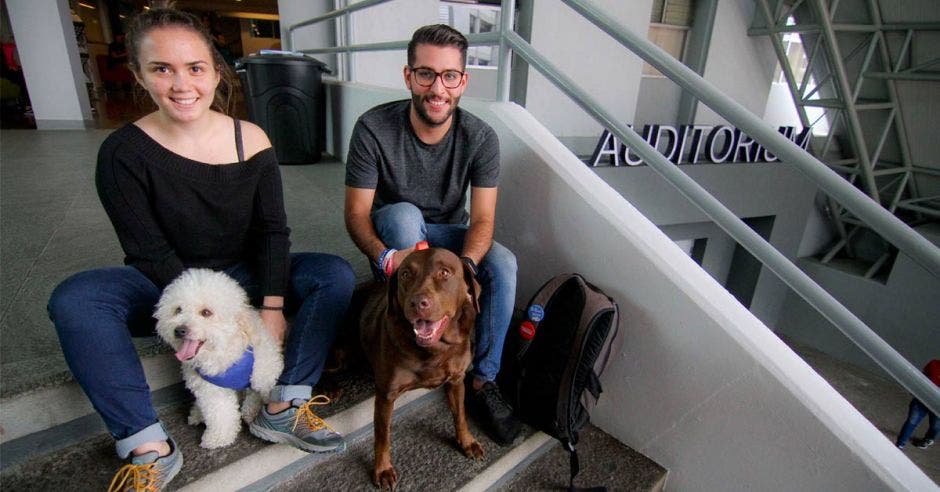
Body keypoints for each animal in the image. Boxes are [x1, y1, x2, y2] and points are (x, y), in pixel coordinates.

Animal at [154, 270, 282, 450]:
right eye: (178, 310)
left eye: (206, 312)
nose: (179, 330)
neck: (222, 351)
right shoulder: (211, 389)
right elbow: (219, 413)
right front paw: (218, 437)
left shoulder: (265, 374)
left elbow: (259, 394)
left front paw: (253, 411)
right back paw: (198, 413)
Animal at [362, 248, 488, 490]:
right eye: (405, 274)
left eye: (444, 272)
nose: (418, 302)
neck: (433, 349)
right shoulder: (385, 394)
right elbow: (382, 435)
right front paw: (382, 469)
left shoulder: (456, 380)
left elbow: (460, 415)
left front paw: (466, 442)